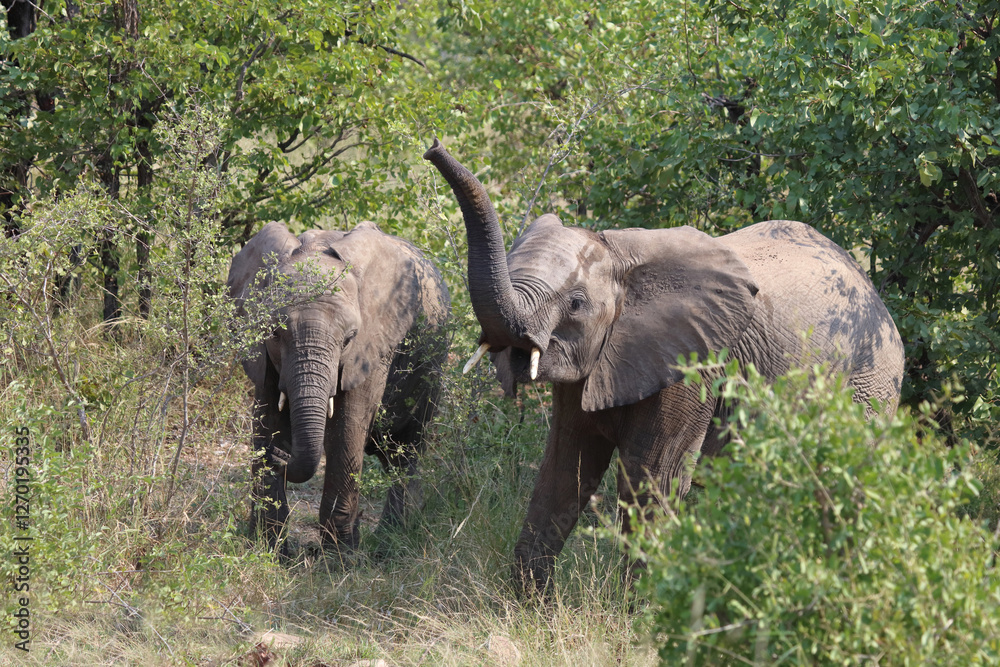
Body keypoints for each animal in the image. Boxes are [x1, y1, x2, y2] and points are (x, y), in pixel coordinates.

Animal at [227, 220, 450, 554]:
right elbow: (266, 419)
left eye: (348, 339)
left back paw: (389, 542)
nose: (280, 455)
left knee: (407, 449)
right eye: (275, 332)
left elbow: (347, 429)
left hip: (433, 364)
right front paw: (269, 550)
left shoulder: (373, 347)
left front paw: (340, 558)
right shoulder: (262, 354)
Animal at [423, 139, 904, 593]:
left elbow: (655, 480)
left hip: (870, 386)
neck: (620, 254)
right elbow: (564, 471)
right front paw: (530, 609)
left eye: (576, 304)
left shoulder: (693, 366)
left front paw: (637, 617)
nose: (433, 147)